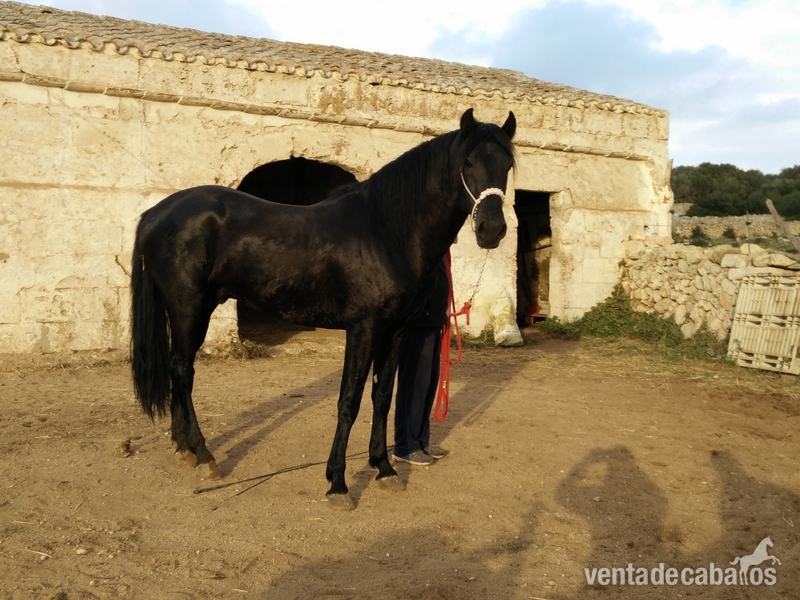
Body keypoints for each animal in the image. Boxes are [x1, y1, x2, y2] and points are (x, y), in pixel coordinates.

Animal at [130, 108, 516, 509]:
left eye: (508, 164)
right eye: (468, 162)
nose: (491, 229)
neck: (386, 230)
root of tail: (156, 212)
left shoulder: (395, 330)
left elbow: (382, 397)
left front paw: (383, 469)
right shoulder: (364, 328)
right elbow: (349, 401)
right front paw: (338, 483)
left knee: (177, 369)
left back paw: (185, 450)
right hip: (188, 308)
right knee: (182, 371)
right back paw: (204, 455)